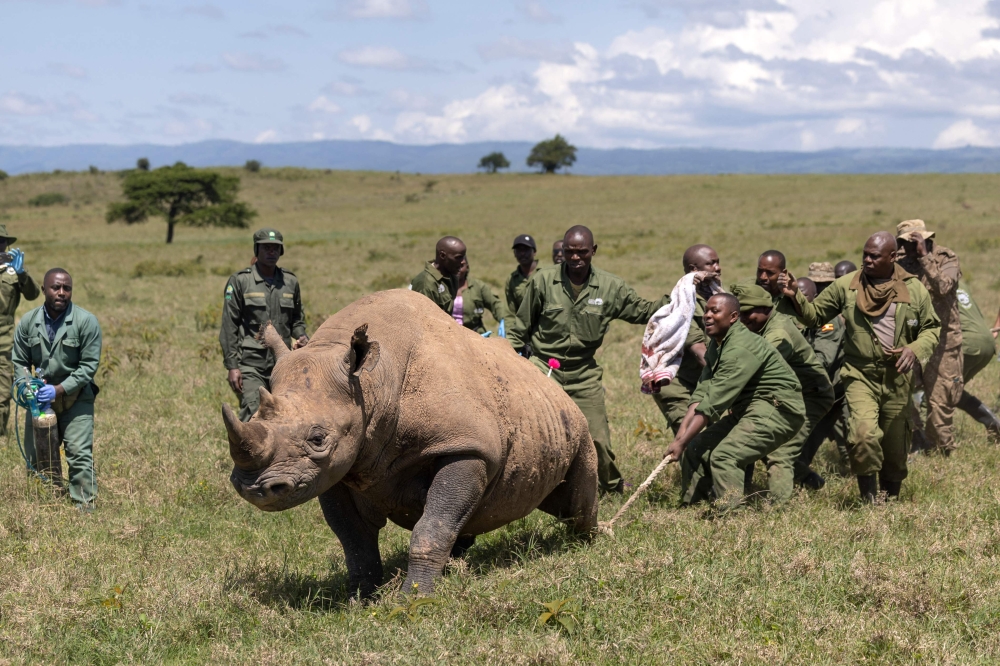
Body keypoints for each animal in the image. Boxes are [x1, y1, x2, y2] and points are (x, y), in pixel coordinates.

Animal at [222, 289, 598, 597]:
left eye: (318, 438)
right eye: (253, 419)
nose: (255, 488)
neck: (372, 383)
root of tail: (548, 379)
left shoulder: (465, 445)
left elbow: (432, 526)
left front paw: (412, 600)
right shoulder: (337, 468)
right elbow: (353, 538)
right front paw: (360, 598)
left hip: (577, 423)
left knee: (577, 501)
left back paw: (587, 543)